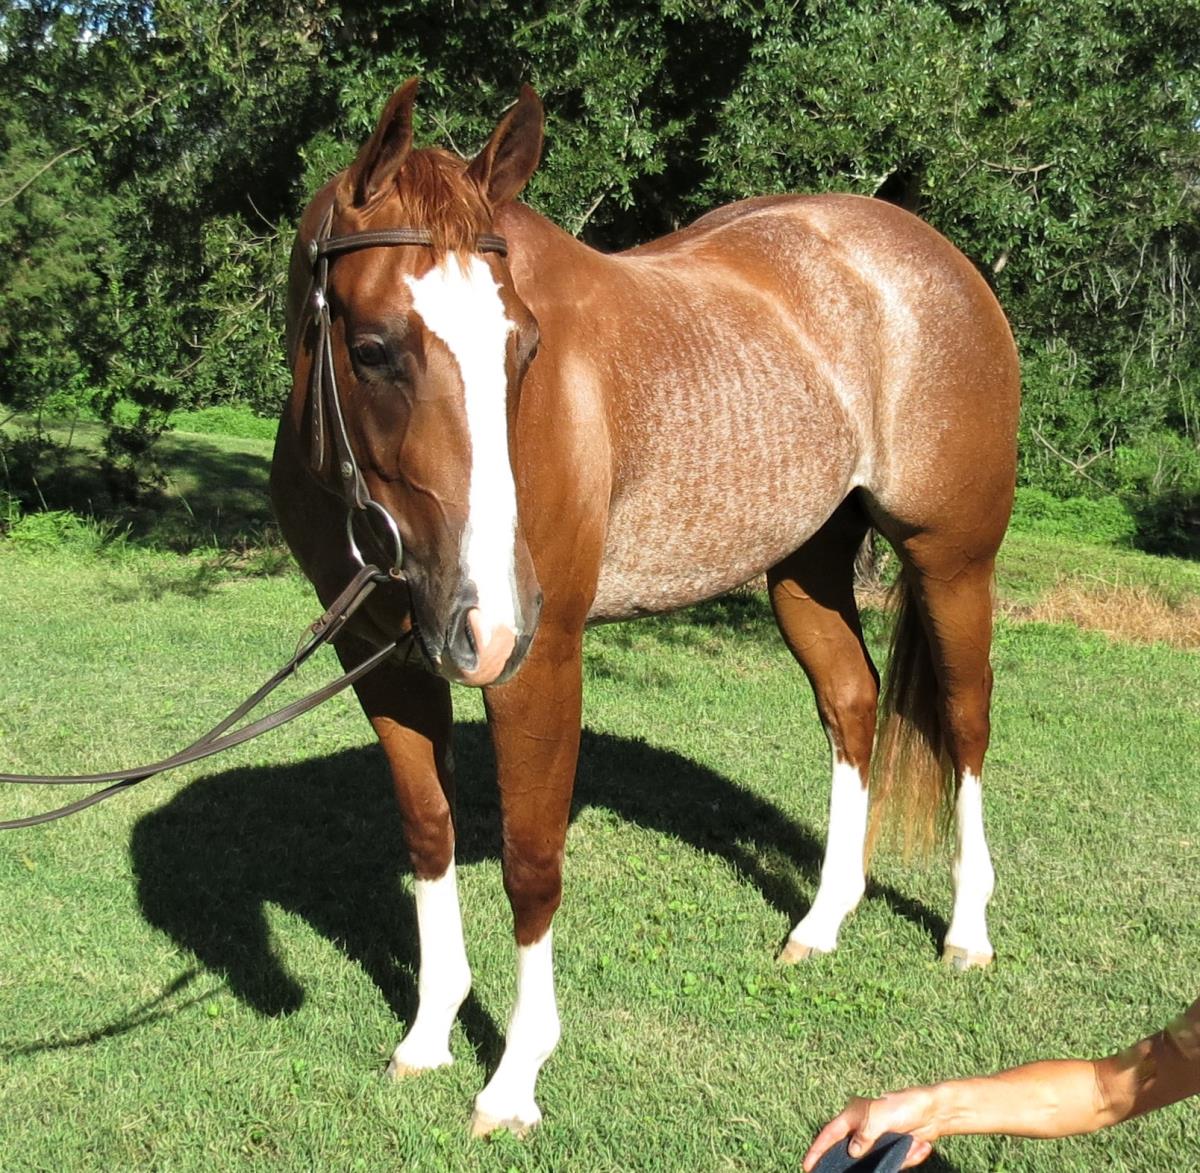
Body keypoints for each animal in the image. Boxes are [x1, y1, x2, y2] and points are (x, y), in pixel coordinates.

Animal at [270, 80, 1020, 1137]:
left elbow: (532, 862)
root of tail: (932, 258)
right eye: (372, 349)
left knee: (963, 722)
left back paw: (967, 929)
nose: (491, 615)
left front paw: (515, 1077)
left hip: (951, 560)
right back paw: (822, 920)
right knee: (853, 701)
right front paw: (427, 1034)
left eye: (525, 348)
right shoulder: (384, 661)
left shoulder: (538, 663)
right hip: (803, 566)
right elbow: (430, 834)